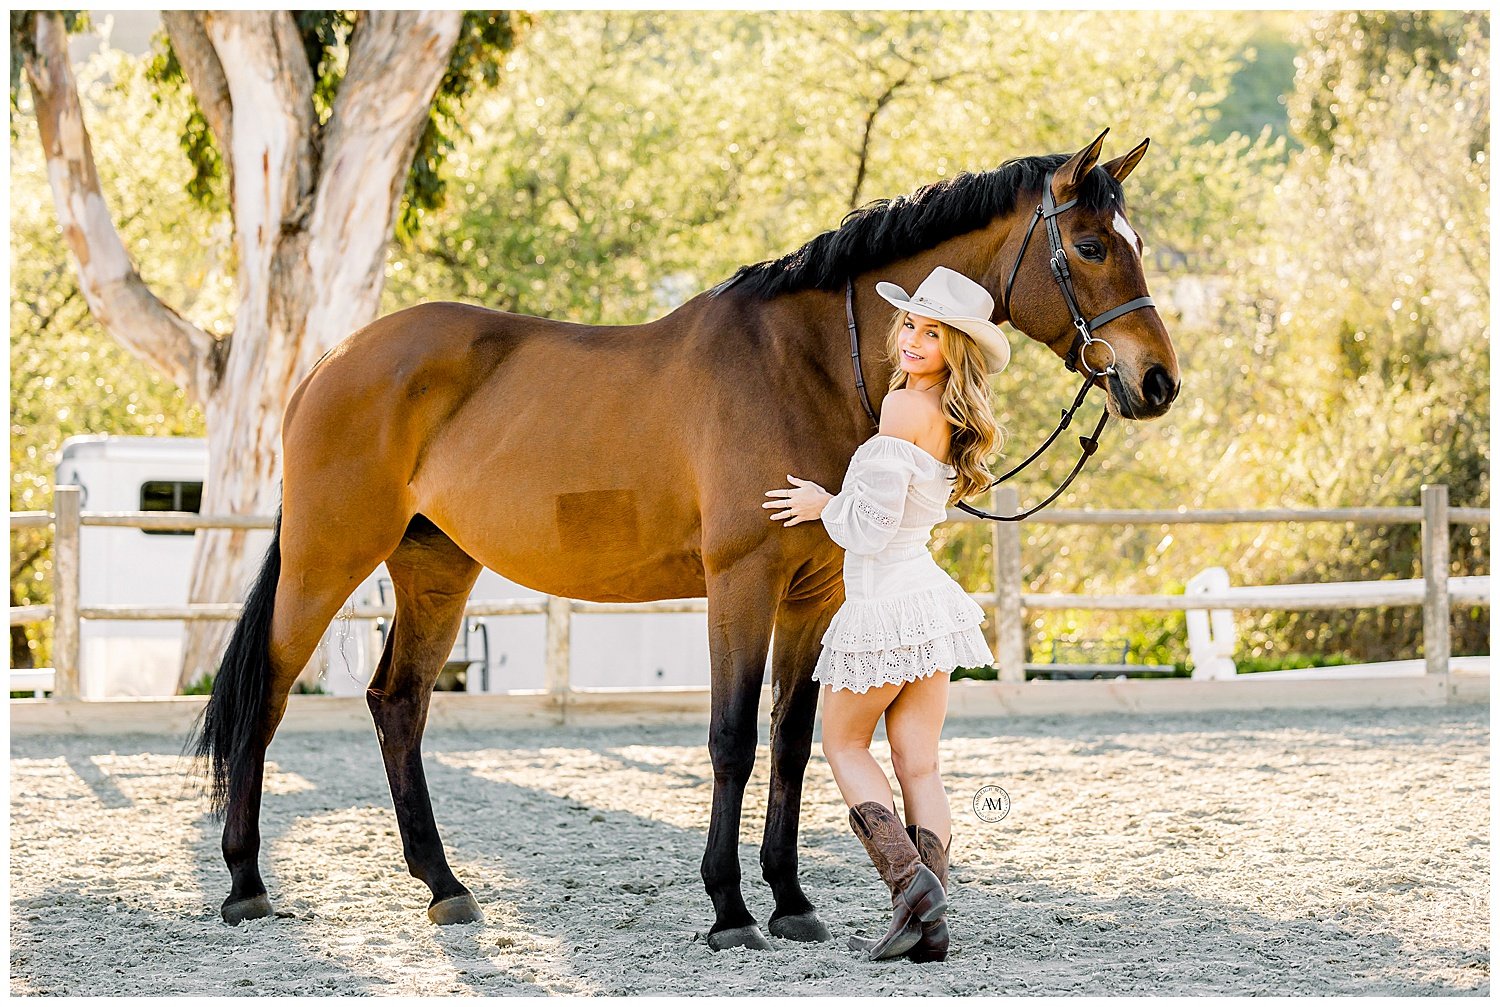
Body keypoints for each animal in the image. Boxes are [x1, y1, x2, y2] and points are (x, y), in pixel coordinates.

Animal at [196, 133, 1182, 954]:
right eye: (1091, 246)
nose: (1158, 380)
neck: (807, 360)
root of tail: (333, 360)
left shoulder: (814, 591)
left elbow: (791, 740)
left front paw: (792, 902)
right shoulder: (741, 583)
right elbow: (731, 740)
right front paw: (730, 909)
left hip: (436, 567)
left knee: (397, 703)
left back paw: (445, 886)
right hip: (328, 558)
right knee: (267, 696)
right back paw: (246, 884)